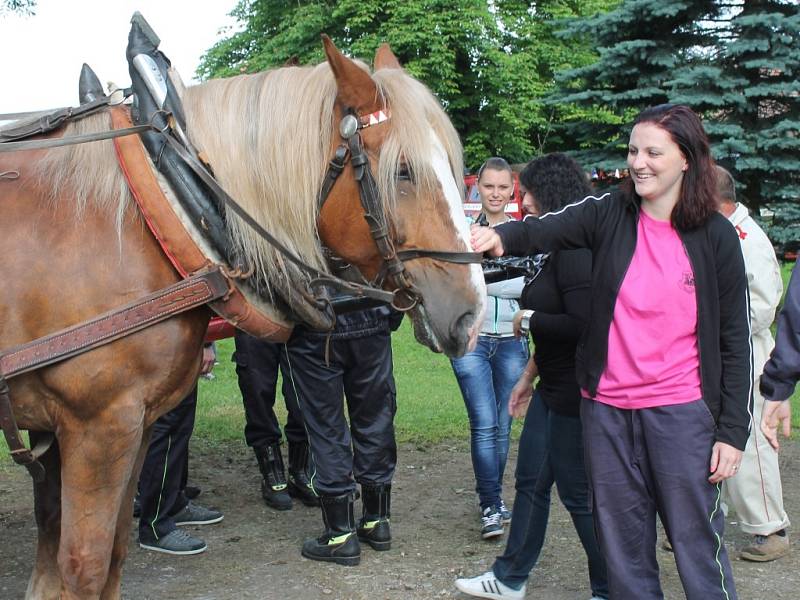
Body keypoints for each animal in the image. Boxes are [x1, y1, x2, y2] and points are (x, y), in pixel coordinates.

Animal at [0, 38, 488, 600]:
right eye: (403, 171)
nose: (472, 313)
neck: (158, 208)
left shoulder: (113, 428)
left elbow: (95, 557)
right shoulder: (98, 427)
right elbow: (85, 568)